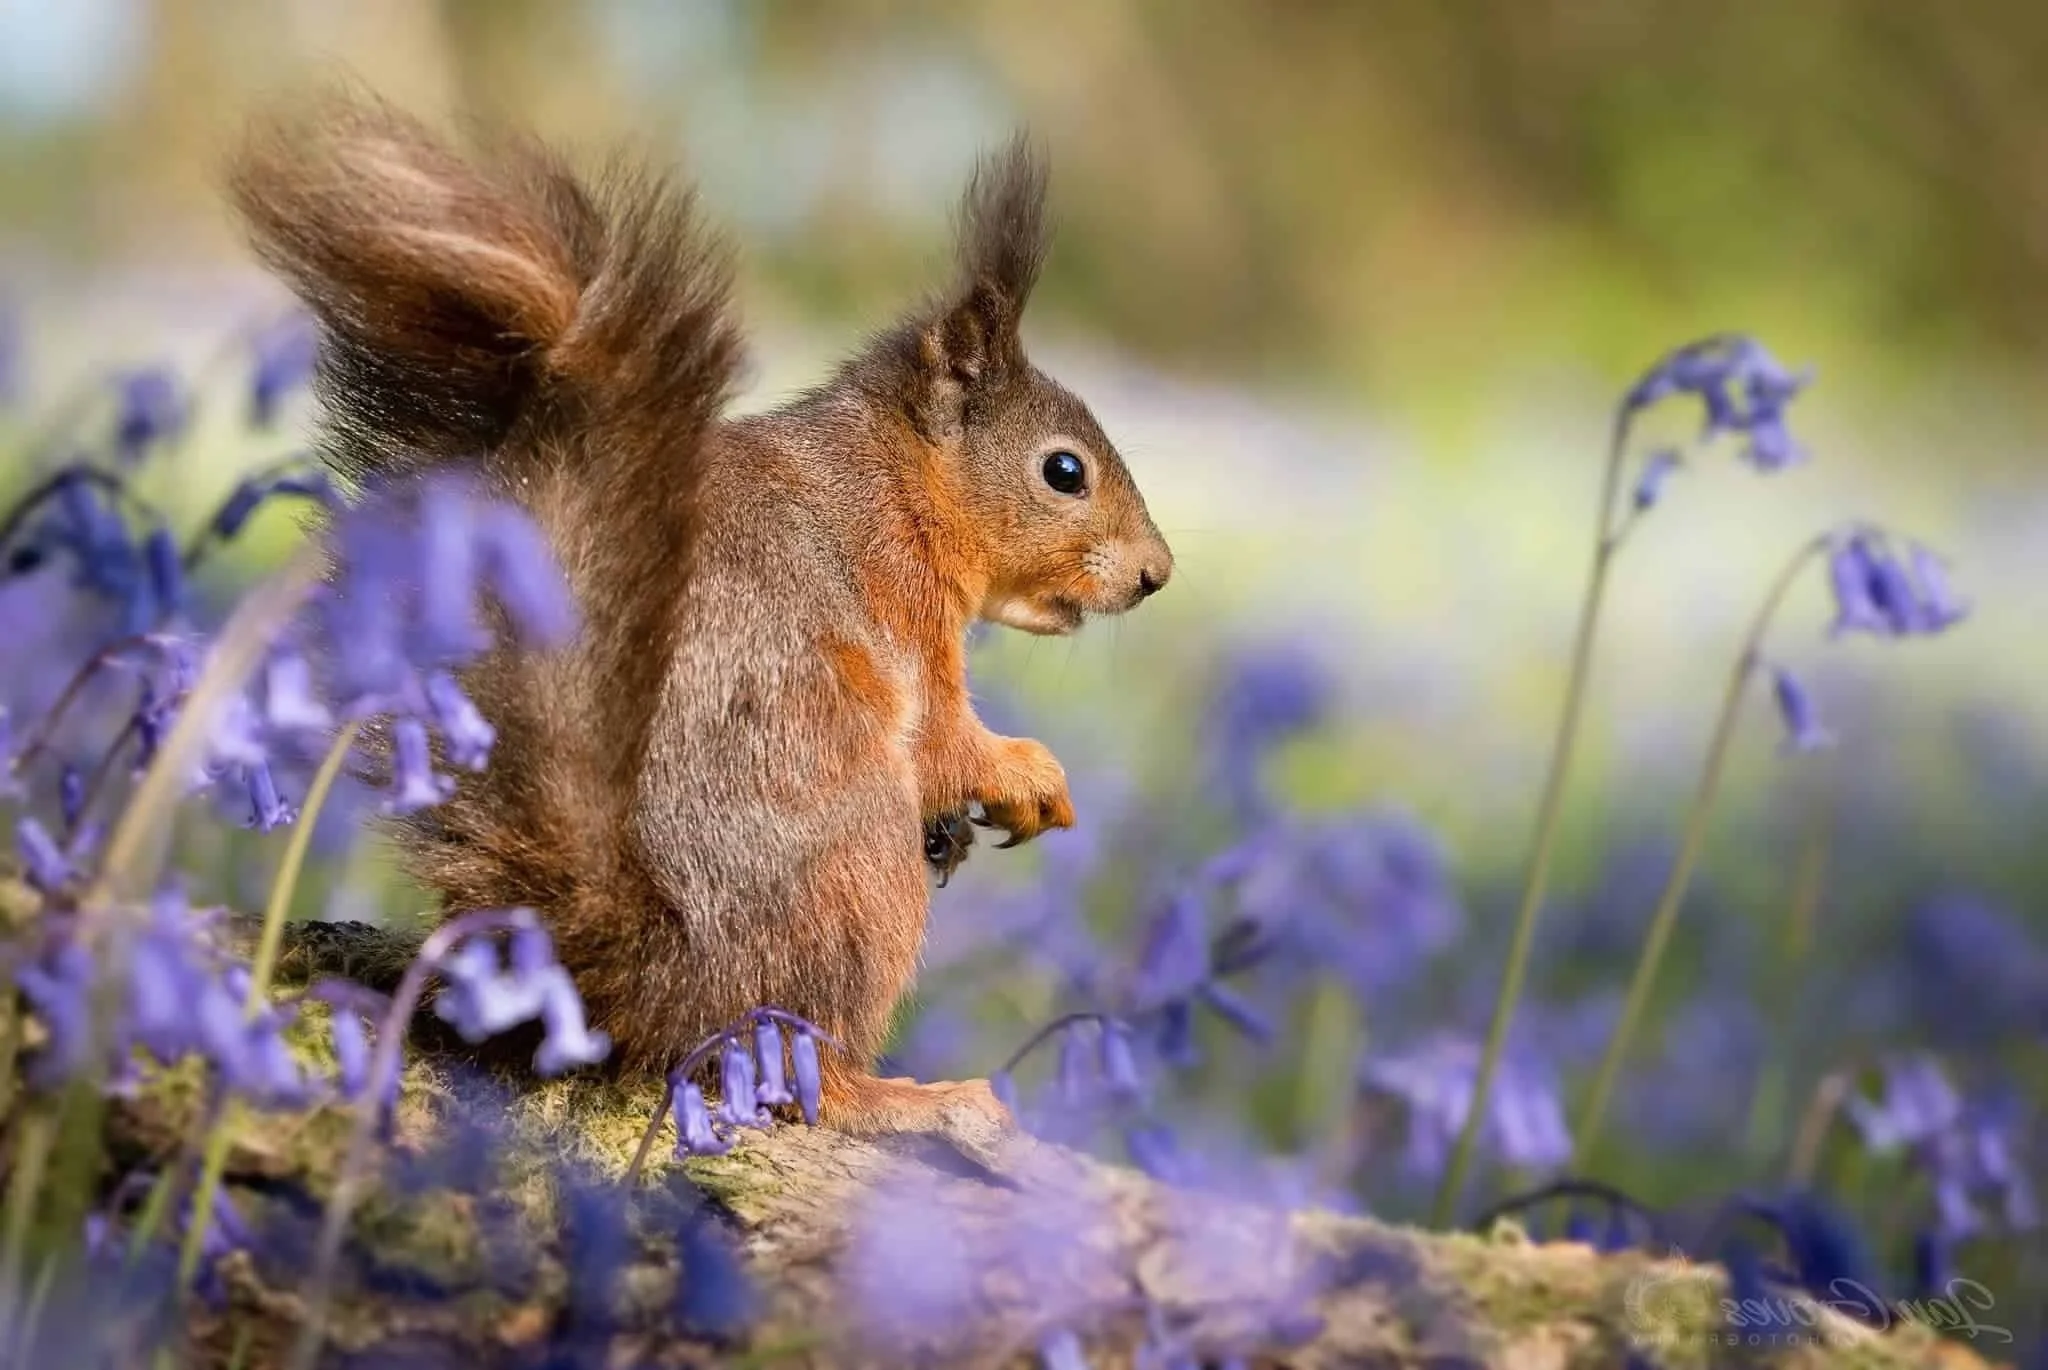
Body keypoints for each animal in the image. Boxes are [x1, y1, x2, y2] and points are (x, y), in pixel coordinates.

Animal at [226, 90, 1173, 1138]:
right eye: (1064, 471)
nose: (1157, 574)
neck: (894, 485)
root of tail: (656, 983)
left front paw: (962, 828)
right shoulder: (896, 607)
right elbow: (939, 736)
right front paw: (1025, 773)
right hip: (858, 876)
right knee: (804, 1070)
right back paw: (914, 1098)